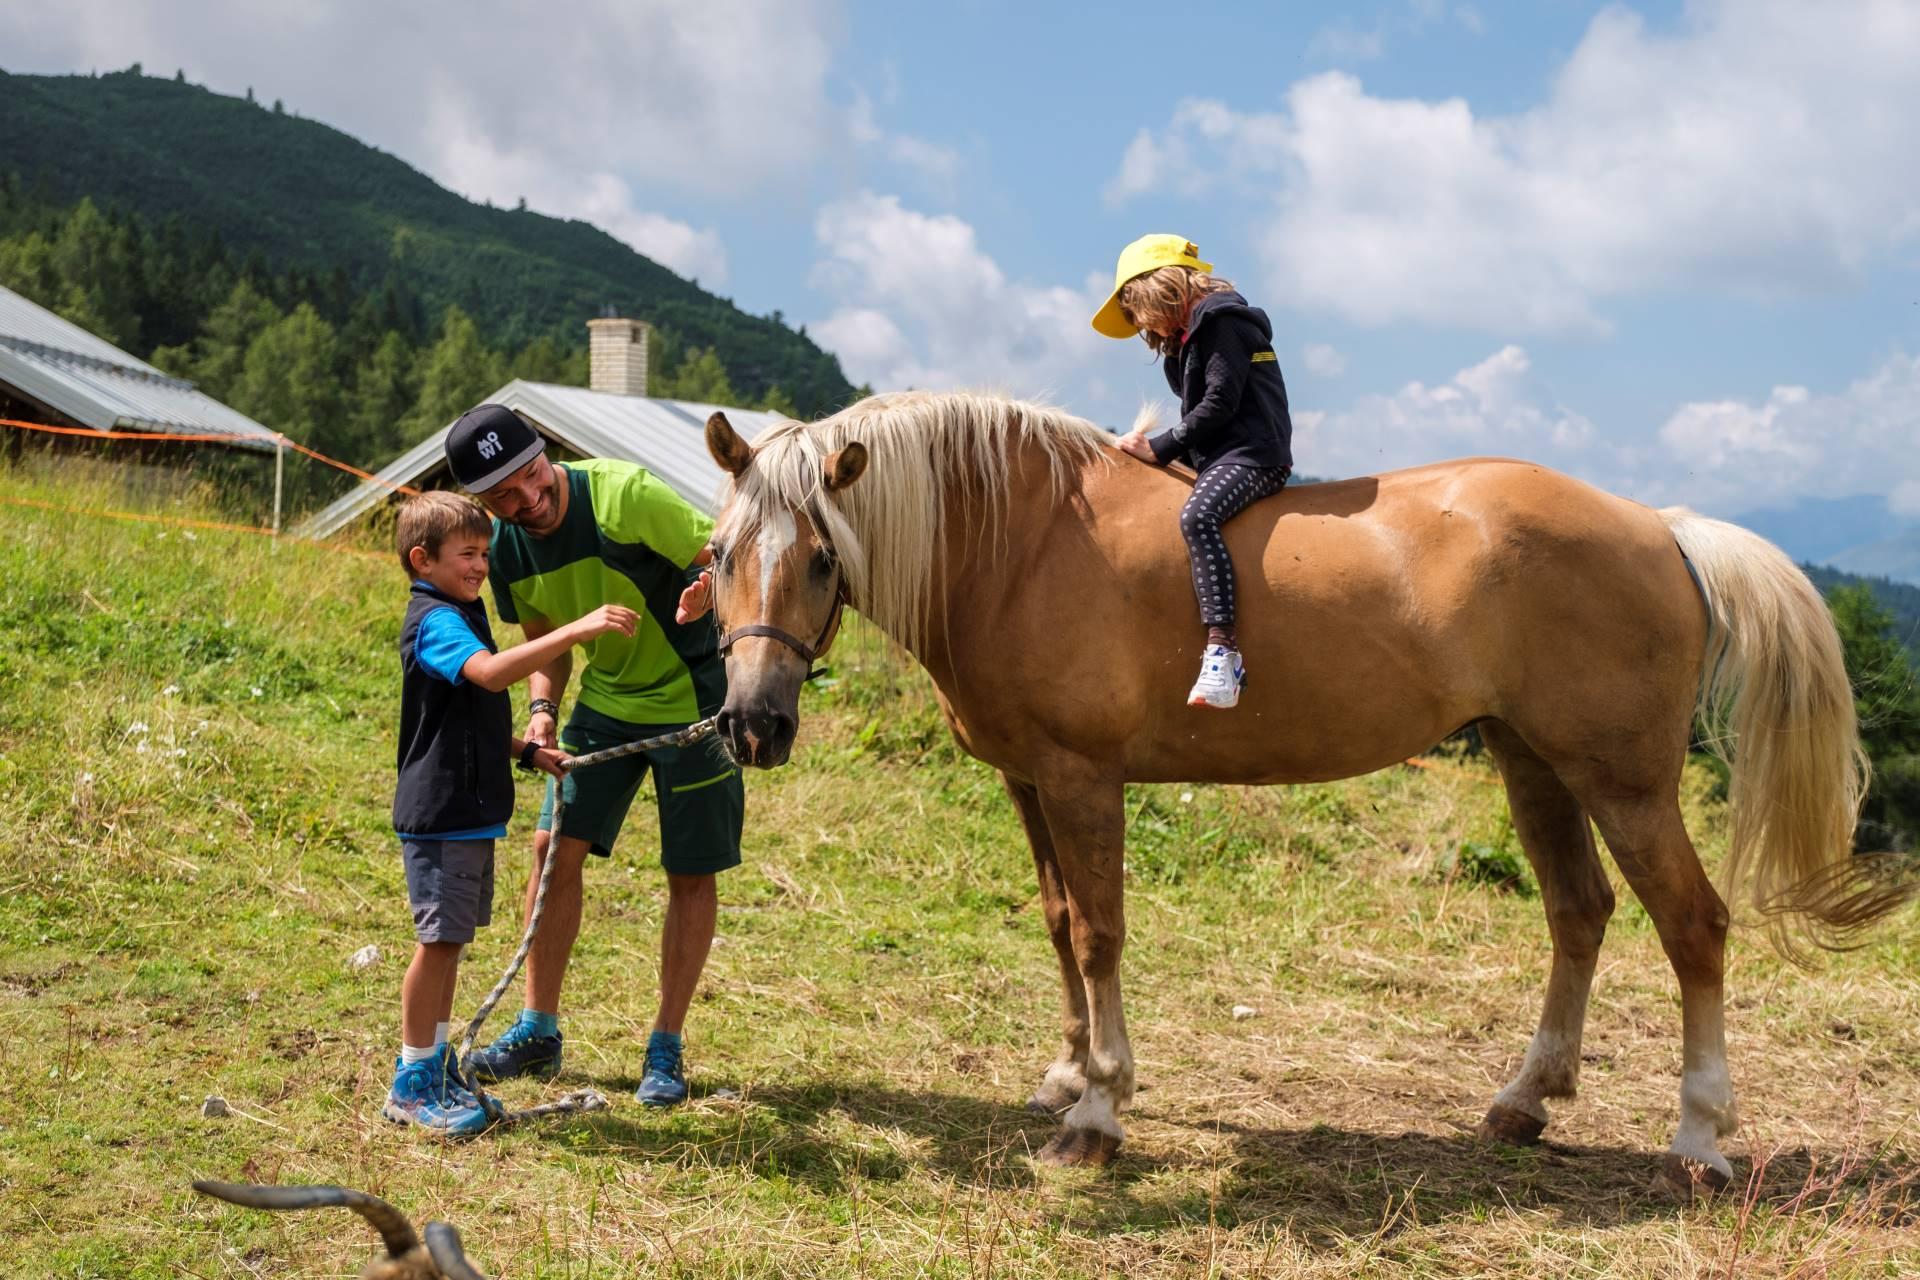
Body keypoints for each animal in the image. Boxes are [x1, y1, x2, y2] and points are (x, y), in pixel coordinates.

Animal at [702, 387, 1889, 1189]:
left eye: (820, 557)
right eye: (718, 554)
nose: (754, 724)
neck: (1023, 541)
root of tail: (1662, 524)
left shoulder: (1084, 777)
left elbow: (1099, 932)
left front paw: (1099, 1109)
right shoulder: (1028, 781)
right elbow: (1056, 922)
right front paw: (1068, 1068)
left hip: (1624, 780)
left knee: (1692, 925)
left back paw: (1698, 1138)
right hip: (1531, 760)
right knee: (1579, 913)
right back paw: (1523, 1101)